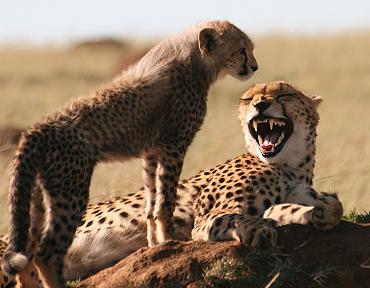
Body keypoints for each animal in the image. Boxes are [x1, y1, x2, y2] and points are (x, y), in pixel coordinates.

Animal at [0, 81, 344, 288]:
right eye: (248, 98)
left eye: (284, 95)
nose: (260, 105)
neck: (289, 165)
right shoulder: (205, 219)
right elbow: (240, 217)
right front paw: (258, 230)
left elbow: (323, 206)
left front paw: (318, 212)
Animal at [1, 20, 258, 288]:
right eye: (241, 50)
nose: (254, 66)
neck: (196, 61)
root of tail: (36, 128)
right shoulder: (173, 146)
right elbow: (166, 200)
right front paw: (171, 239)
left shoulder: (152, 151)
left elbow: (152, 201)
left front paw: (156, 244)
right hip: (70, 190)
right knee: (47, 253)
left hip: (40, 196)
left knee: (29, 249)